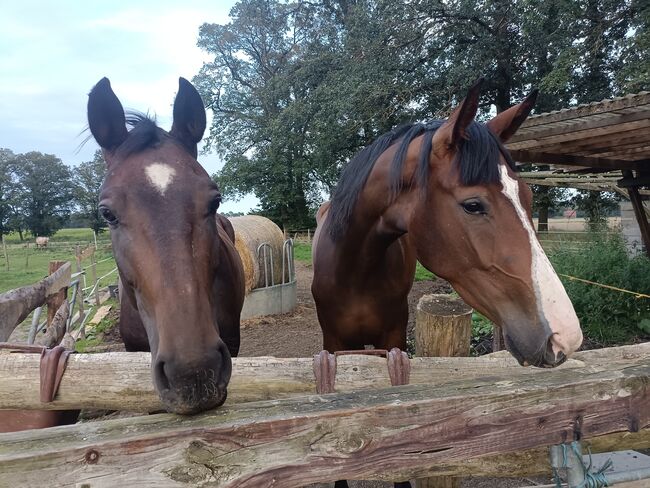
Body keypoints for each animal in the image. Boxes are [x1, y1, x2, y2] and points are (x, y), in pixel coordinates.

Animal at [310, 80, 584, 488]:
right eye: (473, 205)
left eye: (528, 196)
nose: (564, 335)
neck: (355, 270)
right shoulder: (333, 343)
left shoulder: (394, 338)